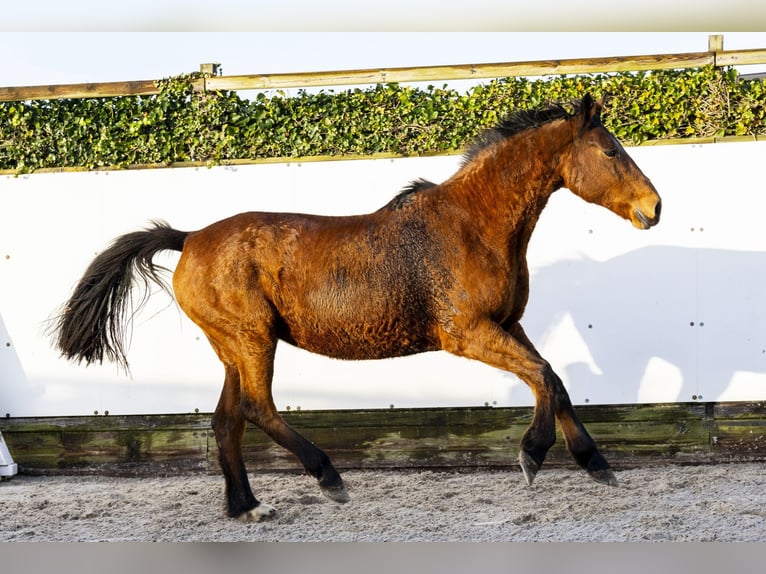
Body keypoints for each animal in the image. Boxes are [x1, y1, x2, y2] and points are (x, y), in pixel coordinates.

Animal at [55, 94, 660, 520]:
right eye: (610, 150)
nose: (654, 207)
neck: (473, 225)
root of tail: (190, 238)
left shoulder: (508, 324)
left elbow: (552, 379)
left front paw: (596, 464)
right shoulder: (465, 333)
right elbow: (545, 376)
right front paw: (533, 455)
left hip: (232, 346)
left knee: (228, 420)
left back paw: (247, 507)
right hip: (253, 339)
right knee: (257, 409)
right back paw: (328, 478)